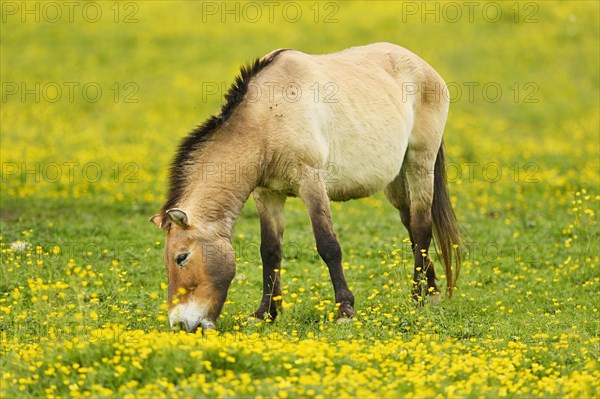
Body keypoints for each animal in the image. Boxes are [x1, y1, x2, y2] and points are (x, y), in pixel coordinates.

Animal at [149, 42, 460, 332]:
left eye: (181, 257)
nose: (179, 323)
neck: (266, 118)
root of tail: (422, 66)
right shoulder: (267, 194)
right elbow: (270, 250)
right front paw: (265, 313)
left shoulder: (312, 184)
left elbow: (328, 245)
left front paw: (345, 310)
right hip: (395, 181)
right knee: (412, 227)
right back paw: (430, 291)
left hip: (420, 162)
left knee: (422, 226)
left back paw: (418, 299)